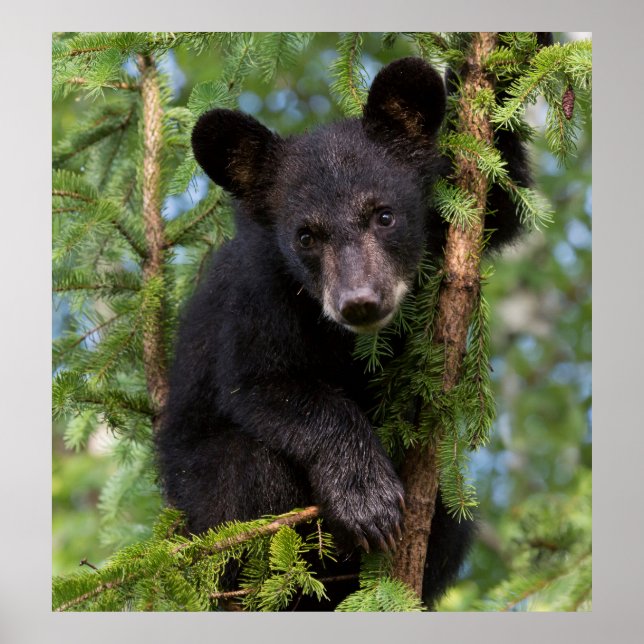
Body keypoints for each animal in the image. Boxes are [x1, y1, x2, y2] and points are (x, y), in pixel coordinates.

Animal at [156, 56, 532, 610]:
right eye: (306, 236)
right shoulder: (257, 295)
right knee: (246, 473)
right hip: (199, 505)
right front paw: (366, 499)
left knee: (451, 518)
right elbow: (263, 384)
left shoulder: (449, 221)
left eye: (384, 214)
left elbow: (500, 196)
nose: (359, 301)